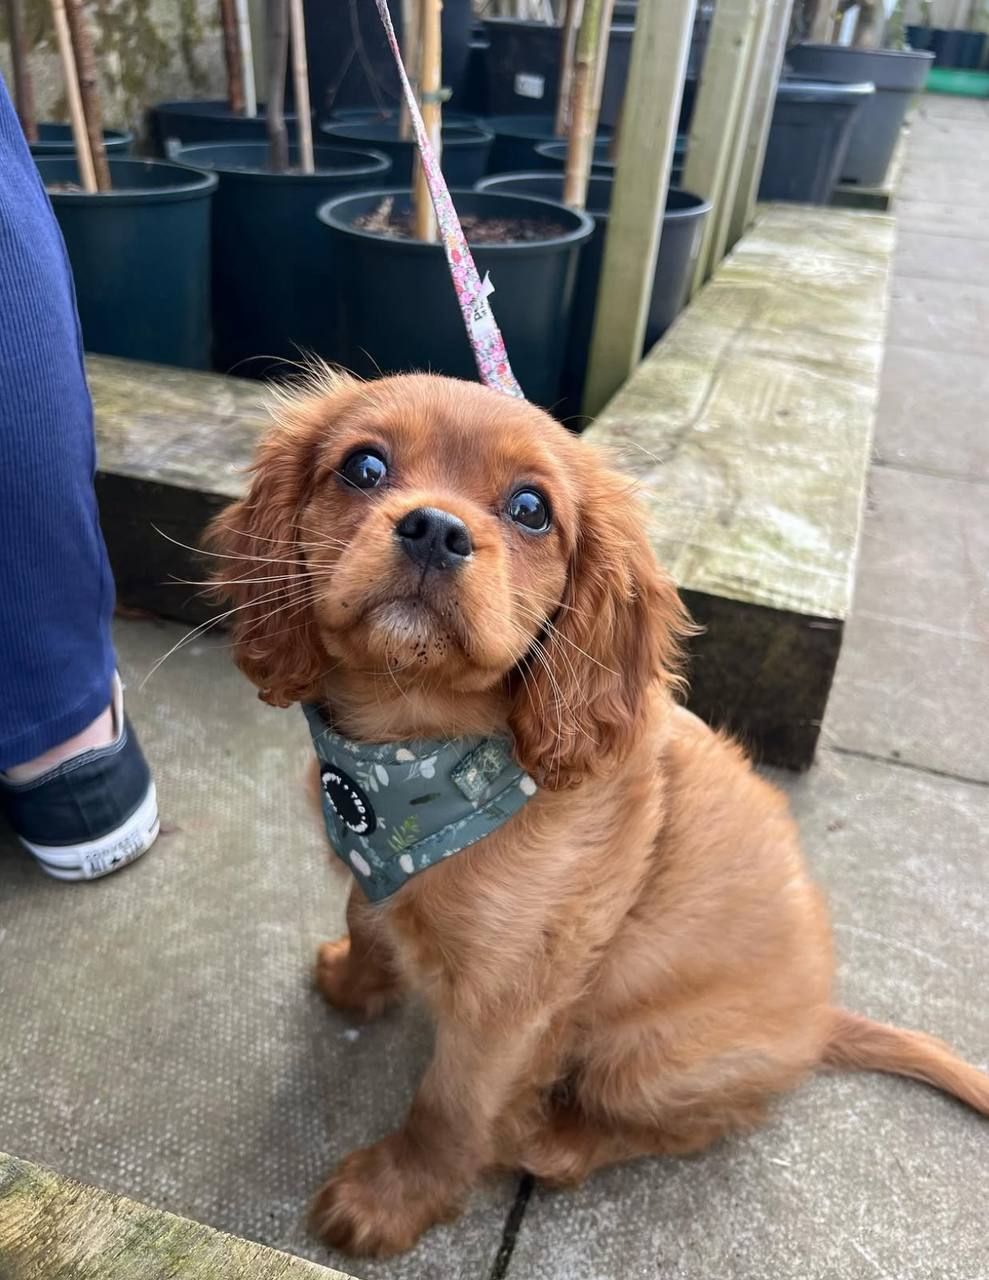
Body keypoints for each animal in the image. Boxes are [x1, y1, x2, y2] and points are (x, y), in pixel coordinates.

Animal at [206, 370, 988, 1258]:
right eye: (363, 467)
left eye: (530, 508)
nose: (436, 529)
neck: (411, 762)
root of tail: (820, 1022)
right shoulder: (376, 871)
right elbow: (364, 912)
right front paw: (353, 980)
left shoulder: (509, 1002)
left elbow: (450, 1104)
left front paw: (391, 1196)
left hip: (646, 1056)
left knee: (692, 1122)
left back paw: (551, 1141)